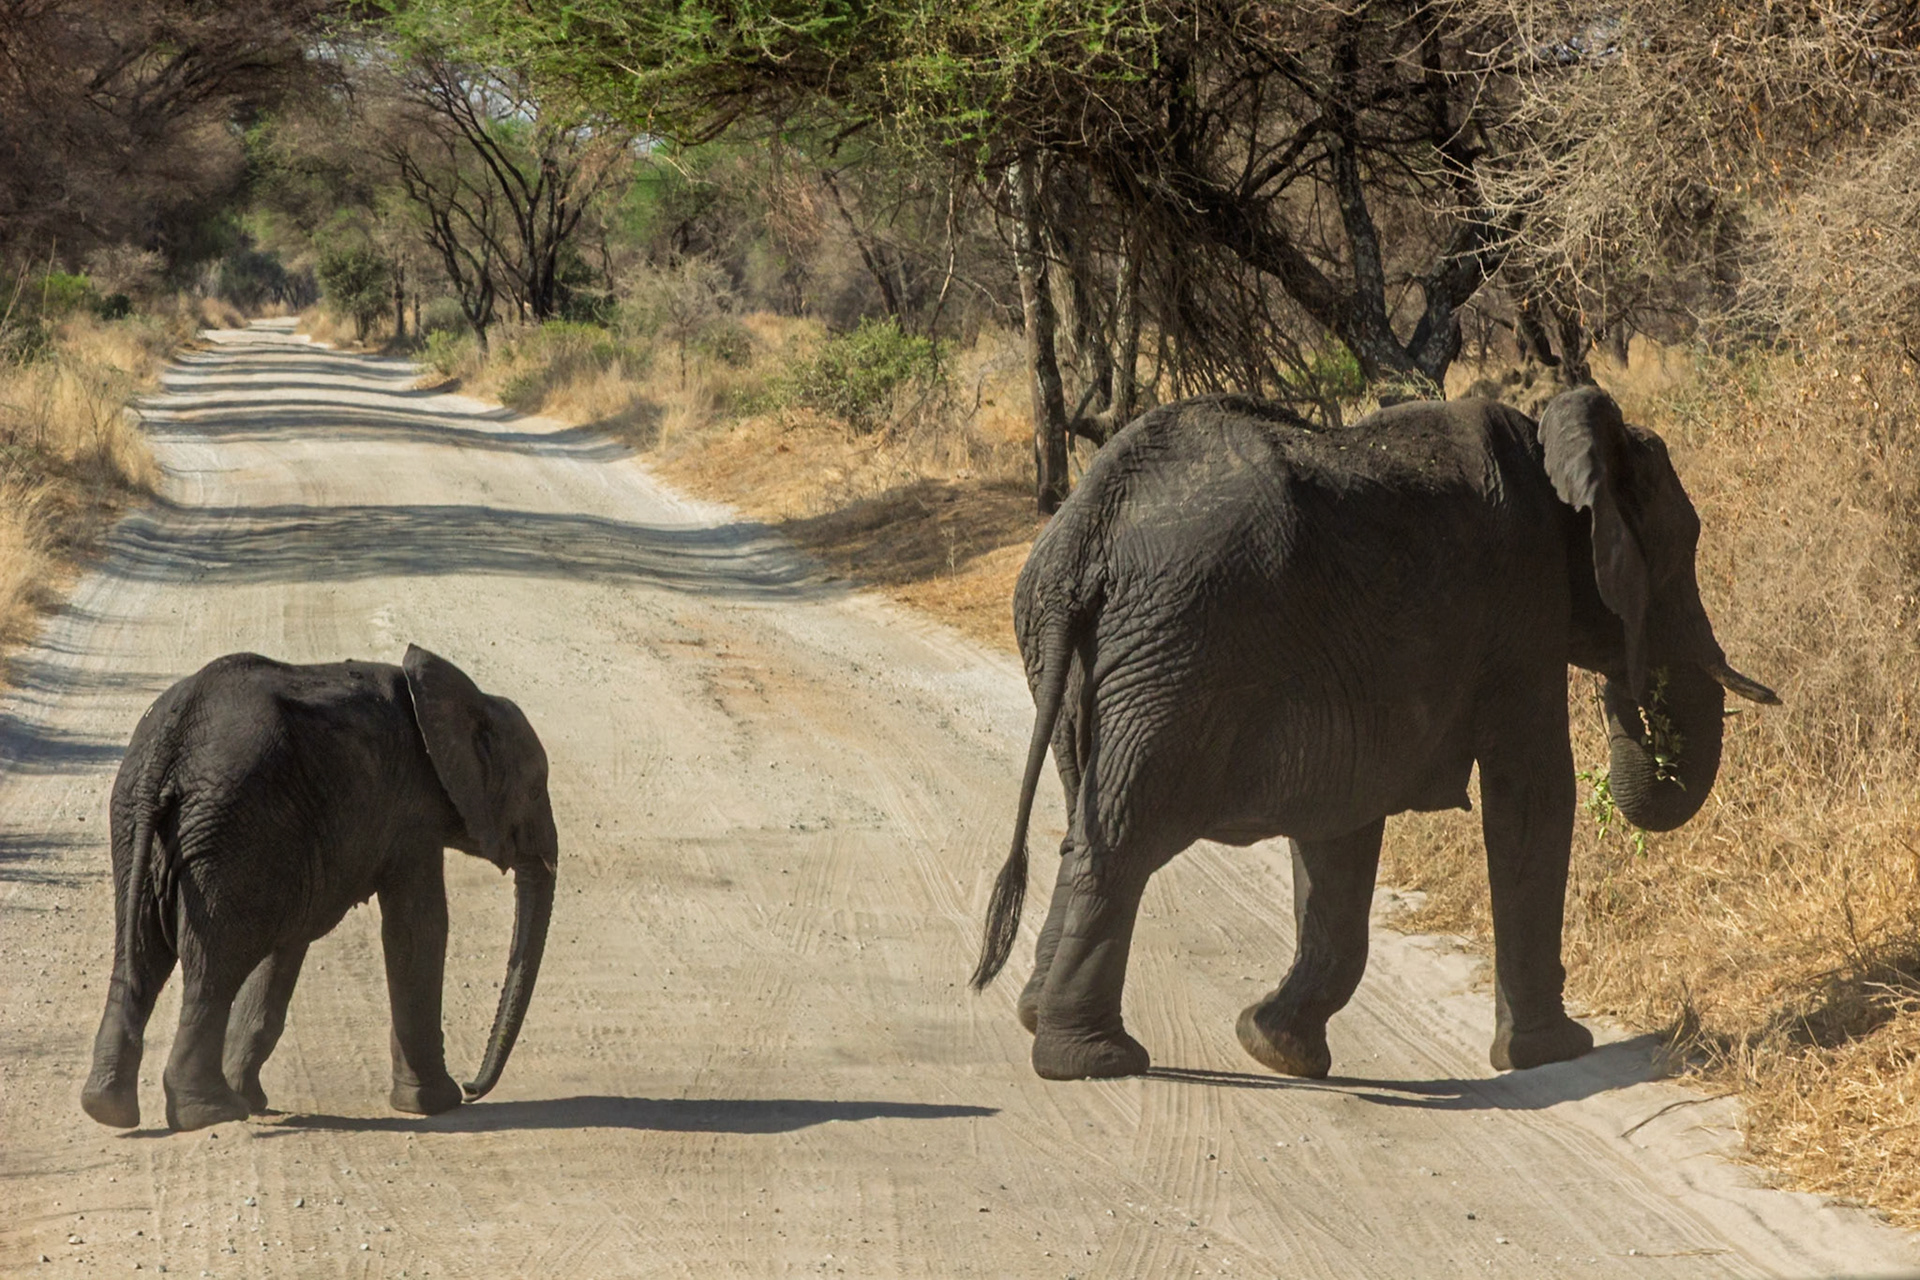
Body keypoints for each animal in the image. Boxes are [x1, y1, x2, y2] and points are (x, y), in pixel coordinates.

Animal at [80, 644, 557, 1131]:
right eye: (536, 791)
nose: (472, 1087)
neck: (468, 698)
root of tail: (170, 742)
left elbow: (290, 944)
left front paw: (254, 1097)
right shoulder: (409, 814)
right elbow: (418, 928)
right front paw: (435, 1104)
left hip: (146, 823)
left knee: (141, 955)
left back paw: (110, 1109)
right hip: (228, 828)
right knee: (211, 969)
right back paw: (211, 1114)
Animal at [970, 387, 1776, 1082]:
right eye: (1686, 542)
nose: (1637, 686)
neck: (1556, 441)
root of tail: (1087, 527)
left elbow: (1341, 826)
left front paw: (1275, 1048)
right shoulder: (1520, 605)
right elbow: (1533, 795)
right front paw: (1553, 1053)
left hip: (1086, 657)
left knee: (1084, 814)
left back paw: (1041, 1021)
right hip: (1177, 652)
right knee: (1121, 837)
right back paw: (1093, 1061)